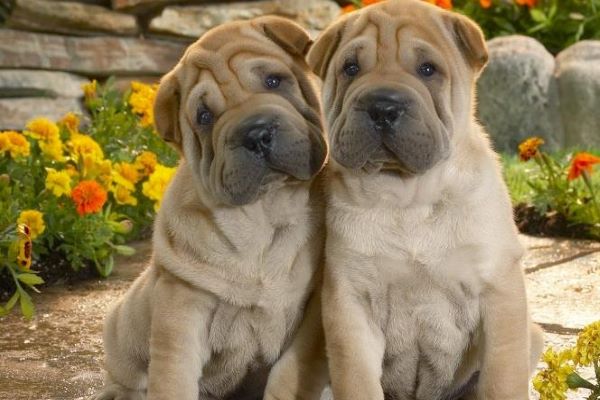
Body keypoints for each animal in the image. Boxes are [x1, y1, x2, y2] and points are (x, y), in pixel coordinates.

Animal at [94, 15, 330, 400]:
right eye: (204, 116)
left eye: (274, 81)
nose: (256, 134)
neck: (264, 215)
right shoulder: (181, 303)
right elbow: (172, 375)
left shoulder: (311, 315)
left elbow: (289, 373)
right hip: (124, 324)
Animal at [308, 0, 548, 400]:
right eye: (351, 68)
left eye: (427, 69)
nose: (382, 106)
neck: (409, 200)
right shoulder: (351, 303)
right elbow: (356, 379)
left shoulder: (498, 290)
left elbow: (502, 376)